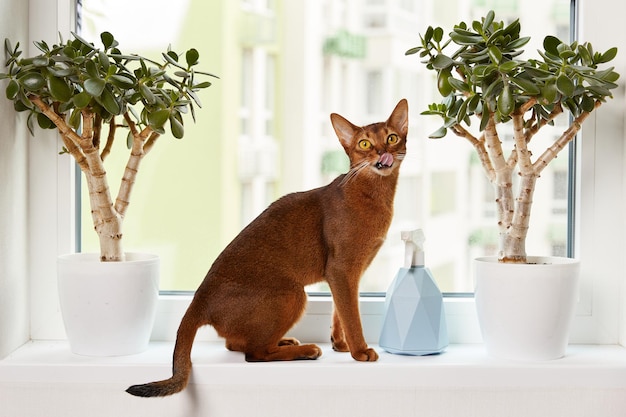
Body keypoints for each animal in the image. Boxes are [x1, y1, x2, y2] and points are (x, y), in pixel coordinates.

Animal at [127, 98, 410, 396]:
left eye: (392, 138)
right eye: (365, 144)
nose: (382, 152)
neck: (372, 194)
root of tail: (199, 299)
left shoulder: (347, 274)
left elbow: (340, 311)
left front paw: (340, 344)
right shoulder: (341, 269)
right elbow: (352, 315)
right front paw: (360, 351)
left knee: (238, 344)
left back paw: (286, 342)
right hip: (291, 293)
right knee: (254, 354)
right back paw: (306, 350)